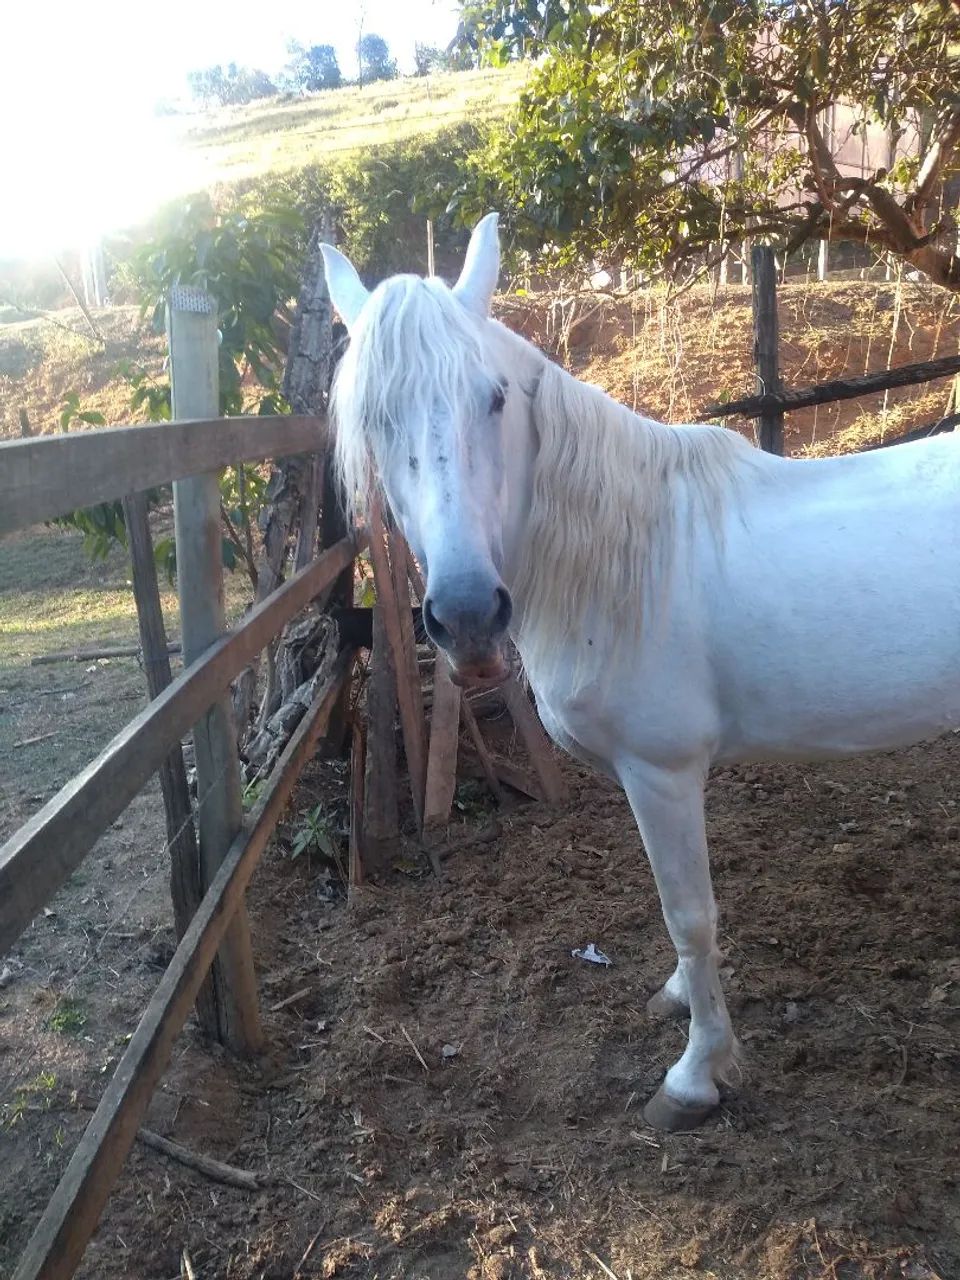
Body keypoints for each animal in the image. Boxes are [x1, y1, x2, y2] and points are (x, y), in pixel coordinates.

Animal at [320, 213, 960, 1131]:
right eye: (374, 418)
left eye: (494, 397)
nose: (469, 613)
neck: (626, 556)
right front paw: (680, 999)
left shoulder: (662, 772)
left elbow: (688, 915)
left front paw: (696, 1073)